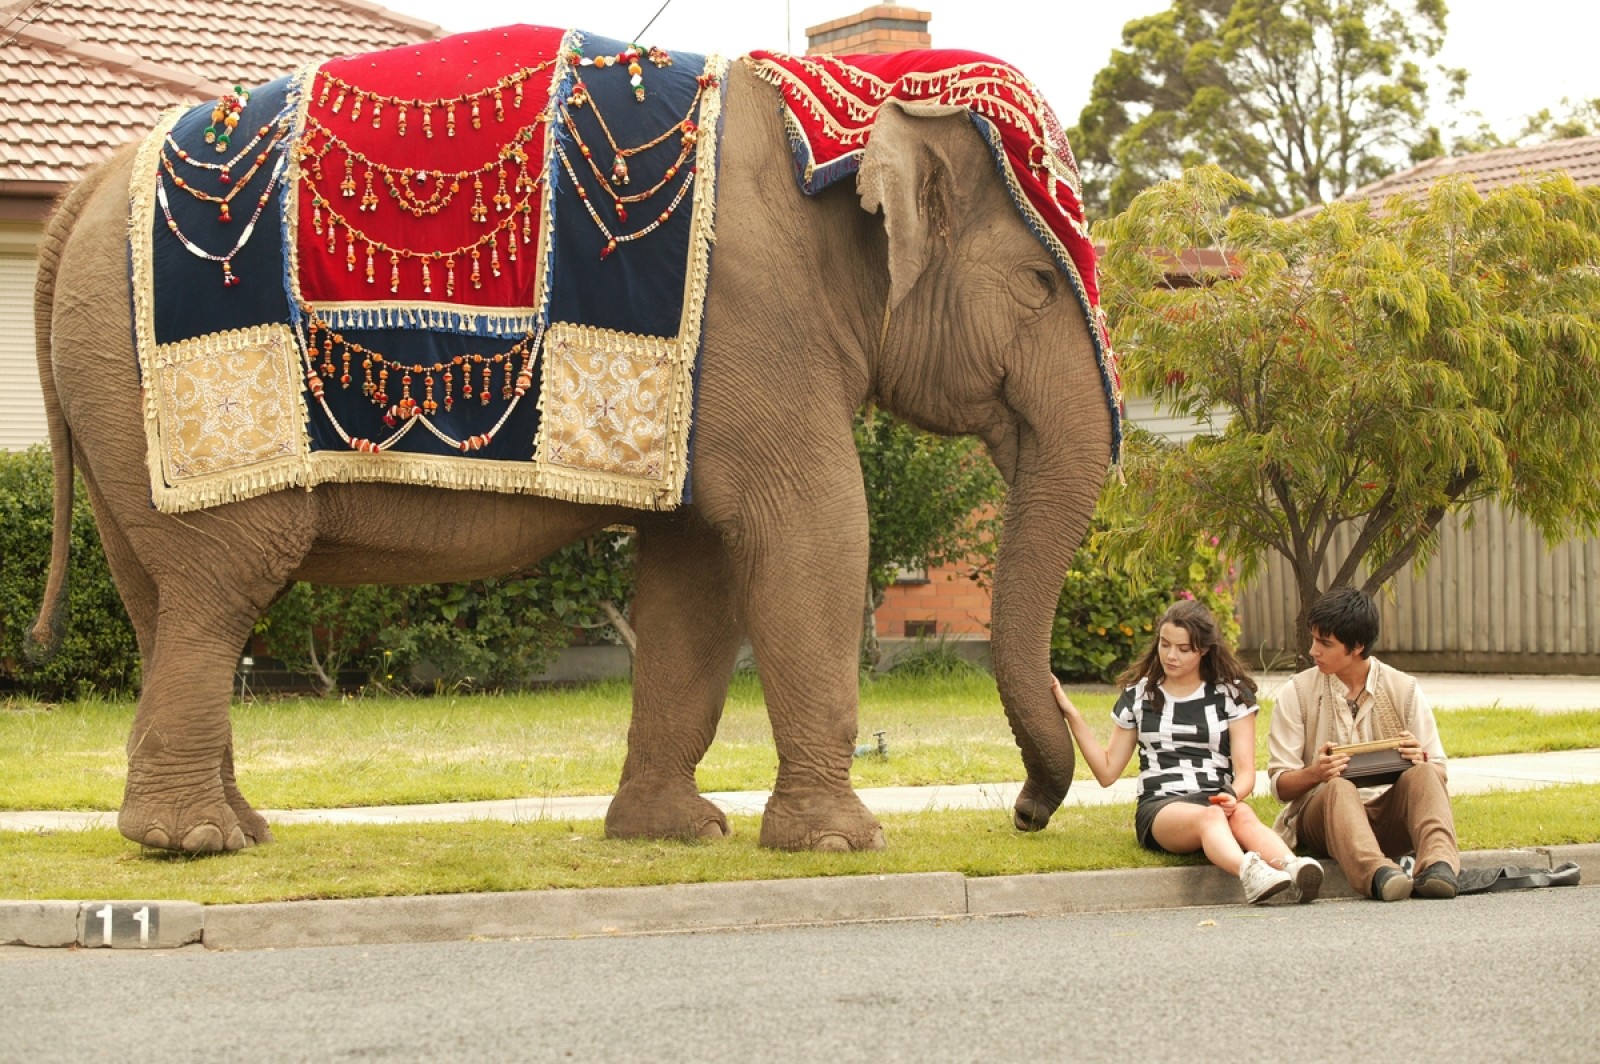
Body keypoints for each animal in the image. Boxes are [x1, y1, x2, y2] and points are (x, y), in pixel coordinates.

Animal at [31, 43, 1120, 857]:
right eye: (1037, 282)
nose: (1027, 812)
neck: (843, 109)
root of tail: (82, 189)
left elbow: (698, 571)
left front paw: (675, 834)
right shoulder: (761, 324)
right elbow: (813, 529)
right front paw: (841, 844)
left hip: (114, 411)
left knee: (165, 601)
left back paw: (235, 832)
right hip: (160, 400)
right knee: (222, 586)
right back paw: (194, 842)